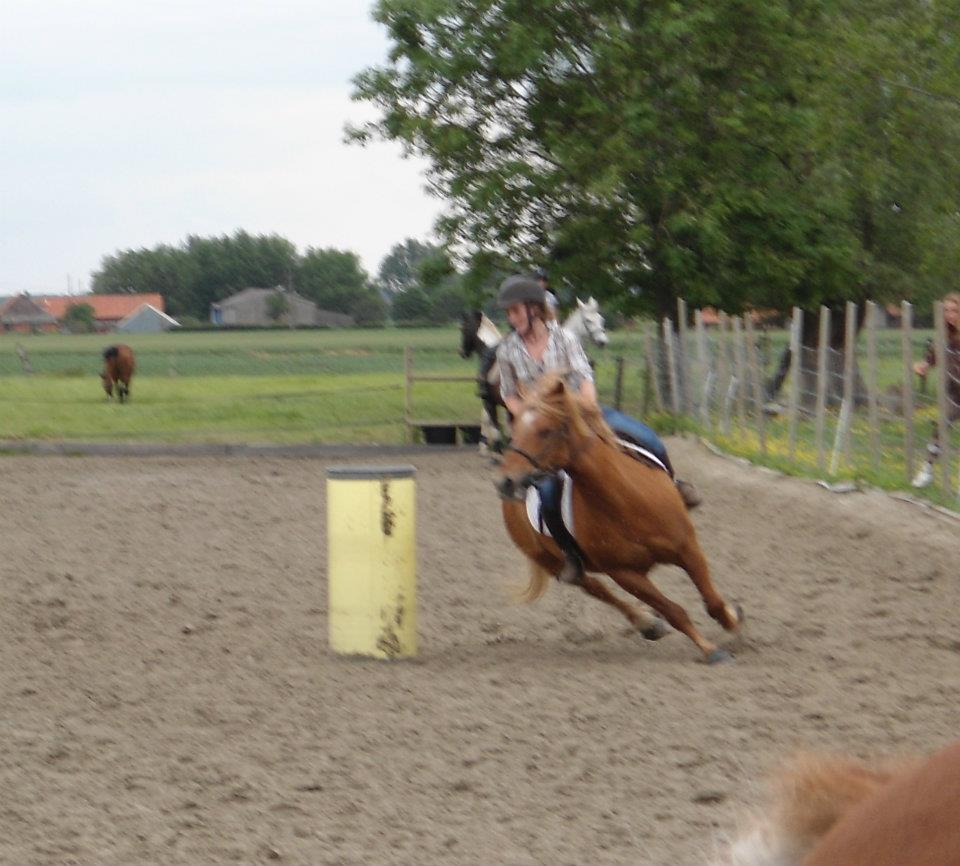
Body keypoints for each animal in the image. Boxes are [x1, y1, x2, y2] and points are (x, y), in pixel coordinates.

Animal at [496, 372, 744, 660]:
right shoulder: (624, 573)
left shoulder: (687, 548)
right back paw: (647, 623)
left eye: (545, 430)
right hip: (551, 561)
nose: (505, 482)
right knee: (596, 589)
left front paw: (733, 619)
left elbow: (712, 600)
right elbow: (674, 611)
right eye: (515, 429)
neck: (627, 501)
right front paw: (709, 650)